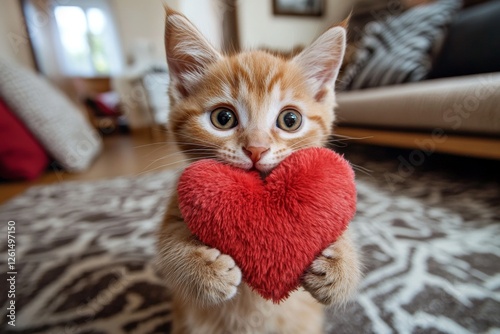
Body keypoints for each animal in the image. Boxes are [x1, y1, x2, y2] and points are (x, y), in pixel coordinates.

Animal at [155, 7, 360, 334]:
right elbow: (168, 245)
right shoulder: (177, 206)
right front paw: (206, 272)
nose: (256, 149)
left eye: (290, 120)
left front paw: (341, 267)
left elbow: (342, 230)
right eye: (223, 118)